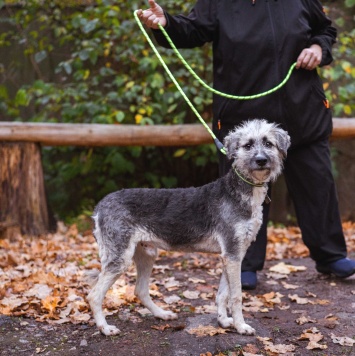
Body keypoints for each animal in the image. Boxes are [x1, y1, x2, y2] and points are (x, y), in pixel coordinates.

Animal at [87, 119, 290, 336]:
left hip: (146, 253)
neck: (241, 192)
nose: (261, 160)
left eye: (268, 143)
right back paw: (105, 328)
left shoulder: (233, 254)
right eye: (248, 145)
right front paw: (241, 326)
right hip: (120, 257)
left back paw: (162, 314)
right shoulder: (232, 255)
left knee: (139, 290)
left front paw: (224, 321)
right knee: (94, 295)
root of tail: (100, 206)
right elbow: (236, 296)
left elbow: (223, 294)